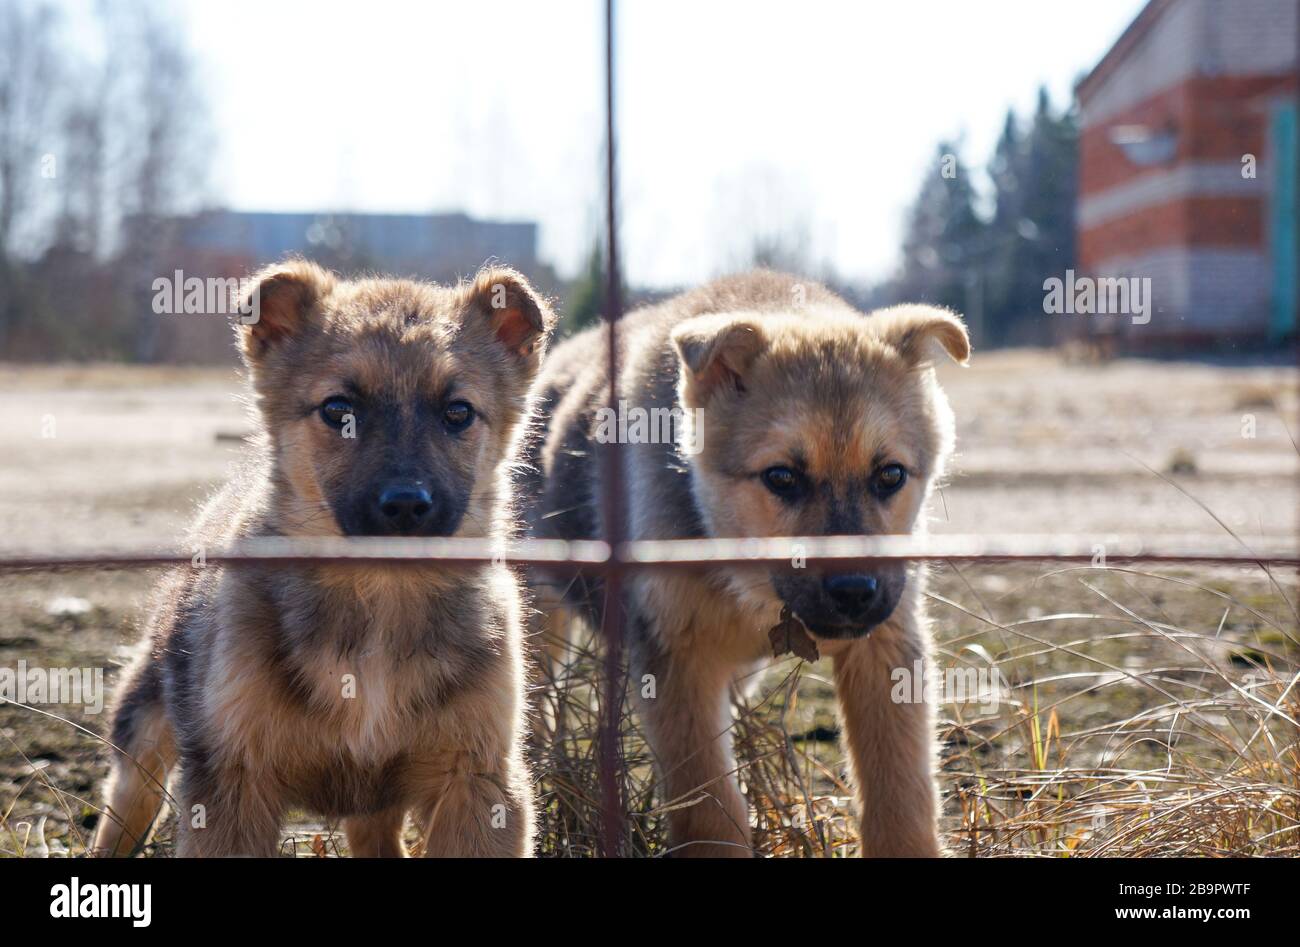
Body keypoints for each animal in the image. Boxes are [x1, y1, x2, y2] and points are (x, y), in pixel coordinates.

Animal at [92, 258, 553, 858]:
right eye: (338, 410)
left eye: (458, 412)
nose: (406, 505)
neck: (379, 602)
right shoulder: (232, 780)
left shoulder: (481, 781)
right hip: (147, 724)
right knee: (125, 803)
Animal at [522, 267, 972, 858]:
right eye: (781, 478)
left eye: (890, 475)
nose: (855, 591)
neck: (753, 584)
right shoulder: (679, 664)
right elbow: (710, 809)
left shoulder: (887, 648)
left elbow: (900, 795)